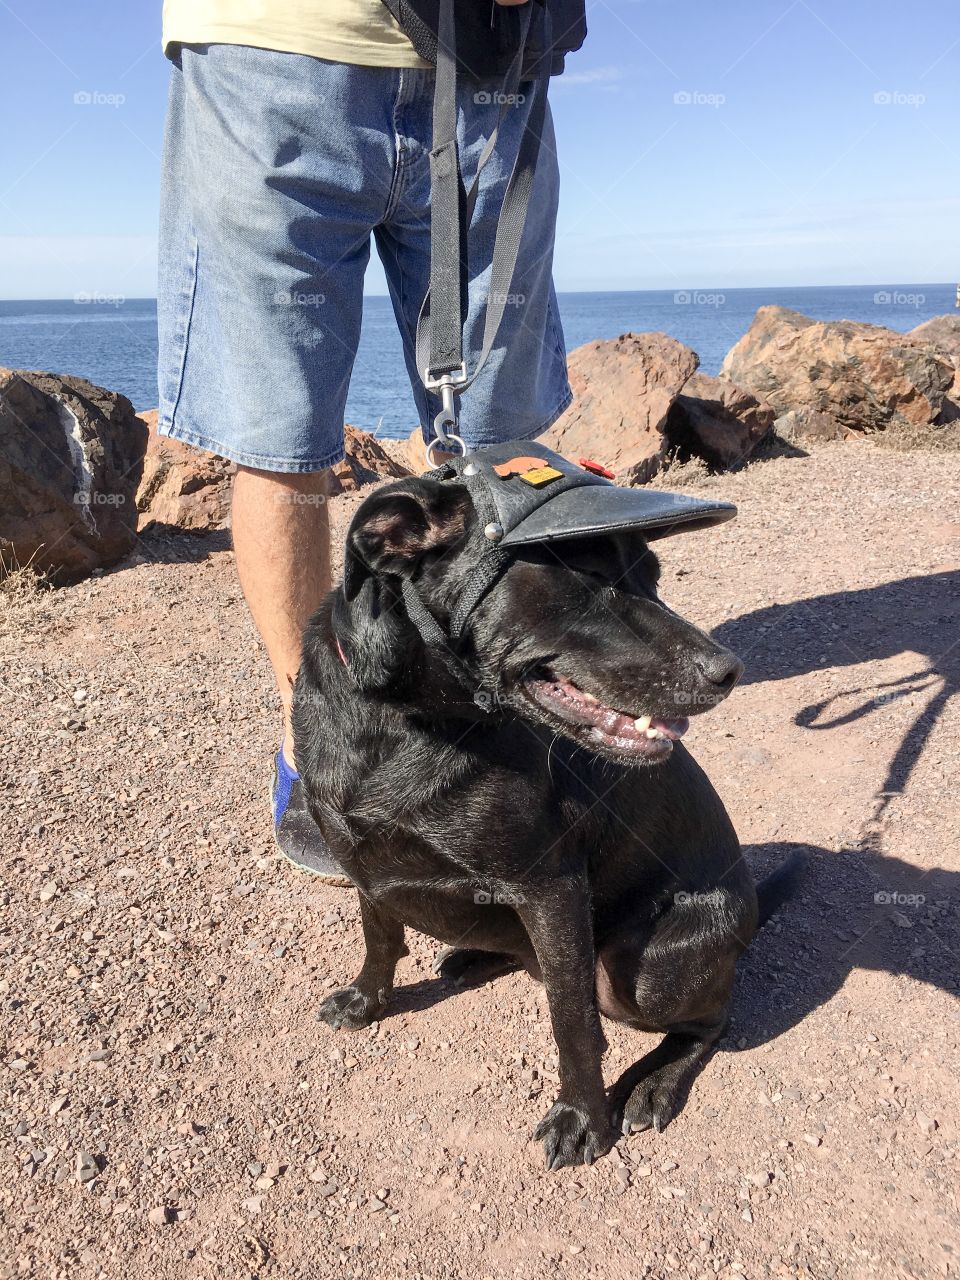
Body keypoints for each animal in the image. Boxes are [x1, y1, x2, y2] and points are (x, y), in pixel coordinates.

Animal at [295, 473, 803, 1172]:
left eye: (653, 574)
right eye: (589, 578)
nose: (728, 671)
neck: (406, 721)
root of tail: (749, 916)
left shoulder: (551, 891)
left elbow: (572, 1018)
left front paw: (583, 1118)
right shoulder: (362, 860)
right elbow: (379, 936)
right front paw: (366, 1001)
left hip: (646, 969)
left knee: (712, 1020)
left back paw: (654, 1083)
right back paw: (474, 956)